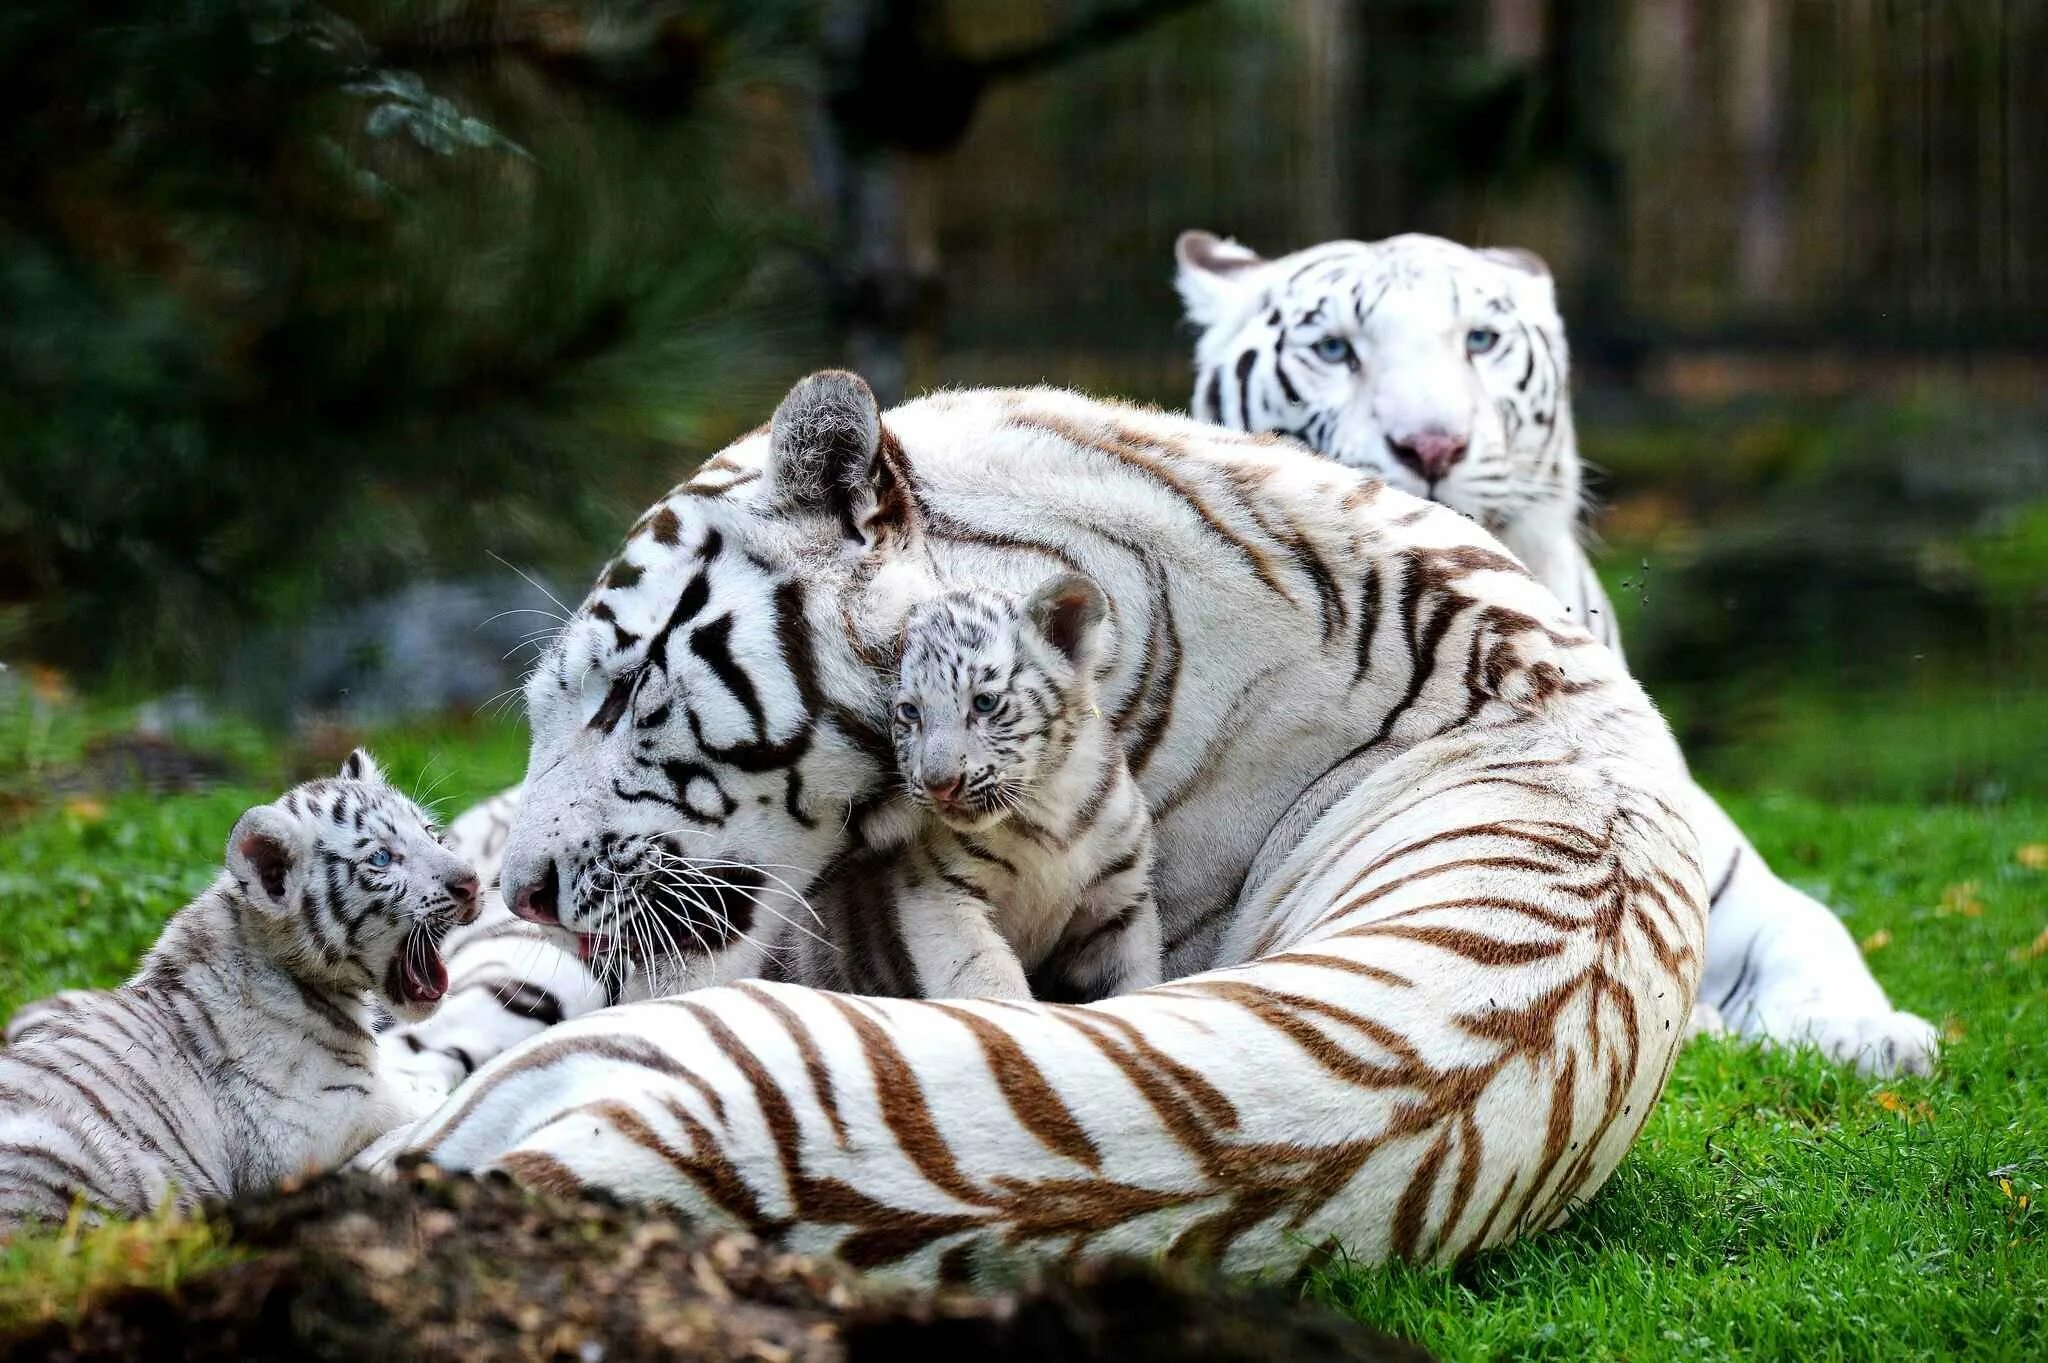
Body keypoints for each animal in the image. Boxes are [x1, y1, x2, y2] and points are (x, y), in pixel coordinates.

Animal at [1171, 225, 1933, 1072]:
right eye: (1335, 349)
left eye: (1480, 339)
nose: (1432, 445)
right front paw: (1710, 1020)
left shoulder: (1726, 872)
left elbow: (1816, 928)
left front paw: (1874, 1033)